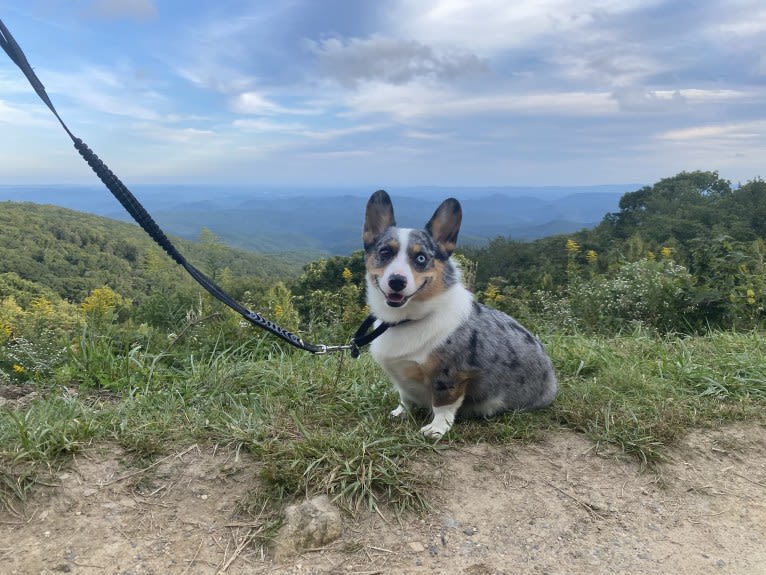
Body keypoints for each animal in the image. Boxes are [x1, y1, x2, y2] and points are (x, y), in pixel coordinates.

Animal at [364, 191, 560, 438]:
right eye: (385, 252)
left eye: (421, 258)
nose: (397, 282)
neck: (407, 320)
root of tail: (552, 381)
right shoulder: (404, 380)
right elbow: (405, 398)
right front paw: (400, 413)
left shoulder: (451, 375)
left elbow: (443, 403)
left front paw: (436, 429)